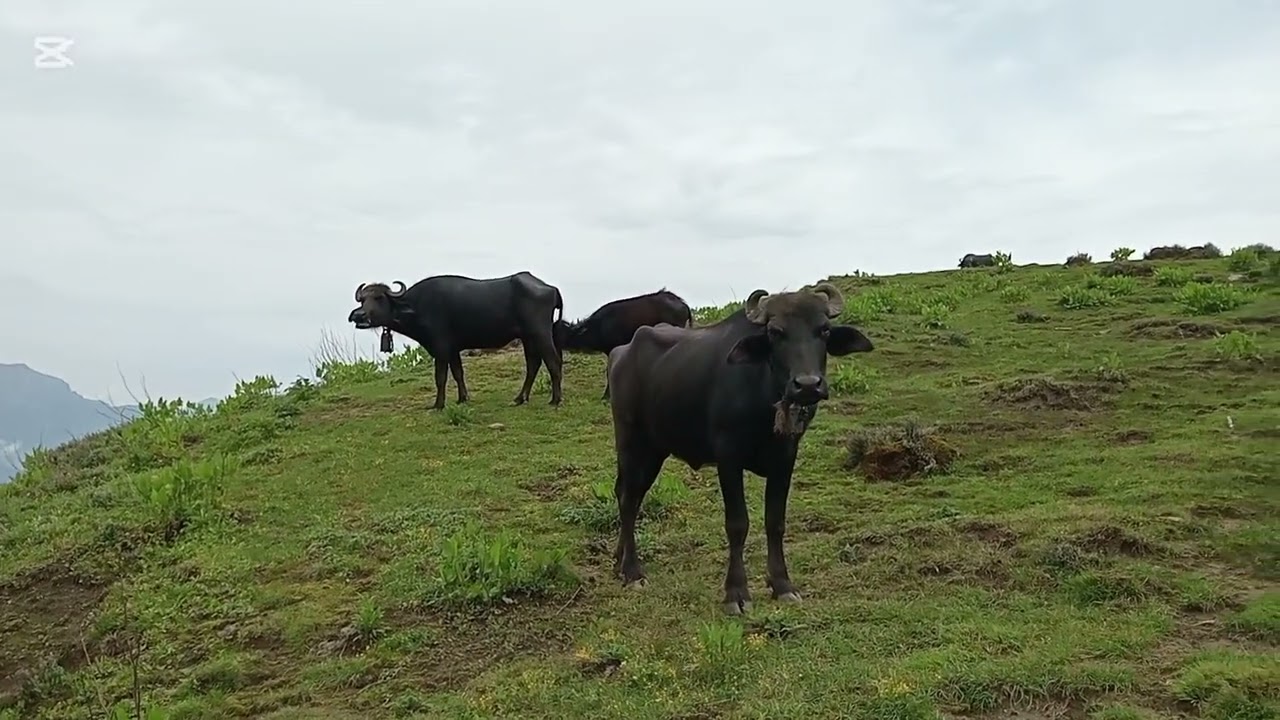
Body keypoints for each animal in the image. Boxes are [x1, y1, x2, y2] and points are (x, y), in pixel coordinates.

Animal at [347, 271, 565, 409]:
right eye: (362, 300)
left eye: (379, 298)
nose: (359, 316)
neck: (416, 306)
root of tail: (551, 288)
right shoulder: (453, 349)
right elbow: (458, 373)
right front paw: (463, 398)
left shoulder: (441, 347)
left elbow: (441, 377)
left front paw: (438, 404)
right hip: (528, 337)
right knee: (533, 364)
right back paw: (520, 398)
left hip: (540, 333)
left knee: (553, 362)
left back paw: (555, 400)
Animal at [605, 282, 874, 614]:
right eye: (775, 332)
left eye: (823, 330)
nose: (808, 385)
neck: (764, 398)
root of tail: (621, 353)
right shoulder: (728, 458)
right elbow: (737, 523)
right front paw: (736, 592)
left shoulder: (786, 458)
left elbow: (775, 522)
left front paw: (782, 584)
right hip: (633, 443)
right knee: (629, 500)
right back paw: (632, 572)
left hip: (655, 449)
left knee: (627, 494)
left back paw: (619, 560)